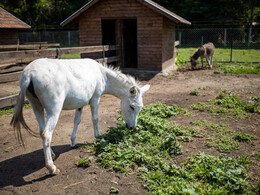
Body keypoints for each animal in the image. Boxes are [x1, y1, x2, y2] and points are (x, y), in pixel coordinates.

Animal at [11, 58, 150, 175]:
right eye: (132, 107)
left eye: (140, 108)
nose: (132, 128)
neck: (103, 75)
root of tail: (29, 73)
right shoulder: (95, 98)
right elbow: (95, 118)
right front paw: (98, 136)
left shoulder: (81, 103)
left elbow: (77, 121)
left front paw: (73, 142)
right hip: (54, 109)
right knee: (46, 134)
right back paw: (52, 168)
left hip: (36, 106)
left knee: (42, 131)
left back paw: (52, 154)